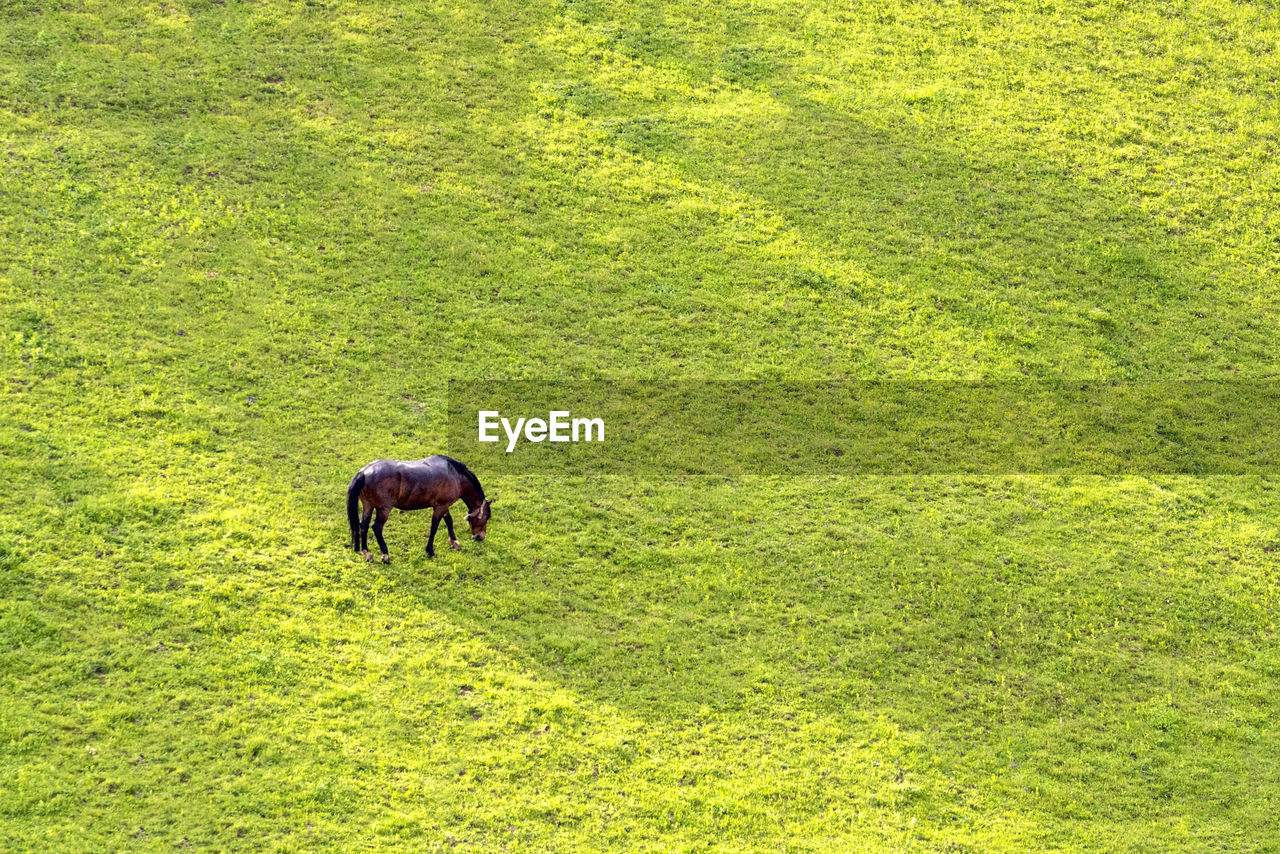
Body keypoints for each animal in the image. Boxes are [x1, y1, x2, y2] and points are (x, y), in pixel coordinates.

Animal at [345, 458, 494, 563]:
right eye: (487, 517)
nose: (480, 537)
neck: (455, 475)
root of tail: (364, 472)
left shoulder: (444, 506)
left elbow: (449, 521)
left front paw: (454, 542)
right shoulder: (440, 507)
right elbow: (434, 527)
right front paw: (430, 551)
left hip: (368, 505)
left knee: (363, 525)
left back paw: (366, 552)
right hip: (383, 509)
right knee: (376, 527)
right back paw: (385, 555)